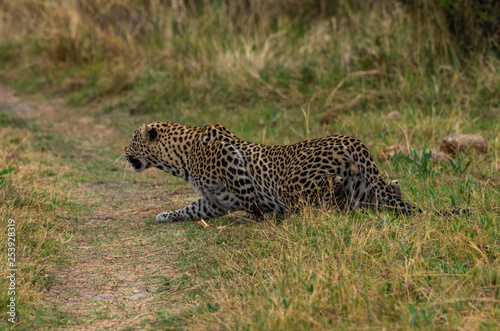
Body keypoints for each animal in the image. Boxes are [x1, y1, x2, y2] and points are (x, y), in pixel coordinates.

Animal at [123, 122, 466, 223]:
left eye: (132, 140)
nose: (124, 153)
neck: (179, 159)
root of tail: (352, 141)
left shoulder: (229, 156)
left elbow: (248, 193)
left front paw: (259, 215)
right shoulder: (215, 201)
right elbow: (192, 208)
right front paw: (166, 215)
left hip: (294, 182)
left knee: (321, 196)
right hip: (366, 190)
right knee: (382, 198)